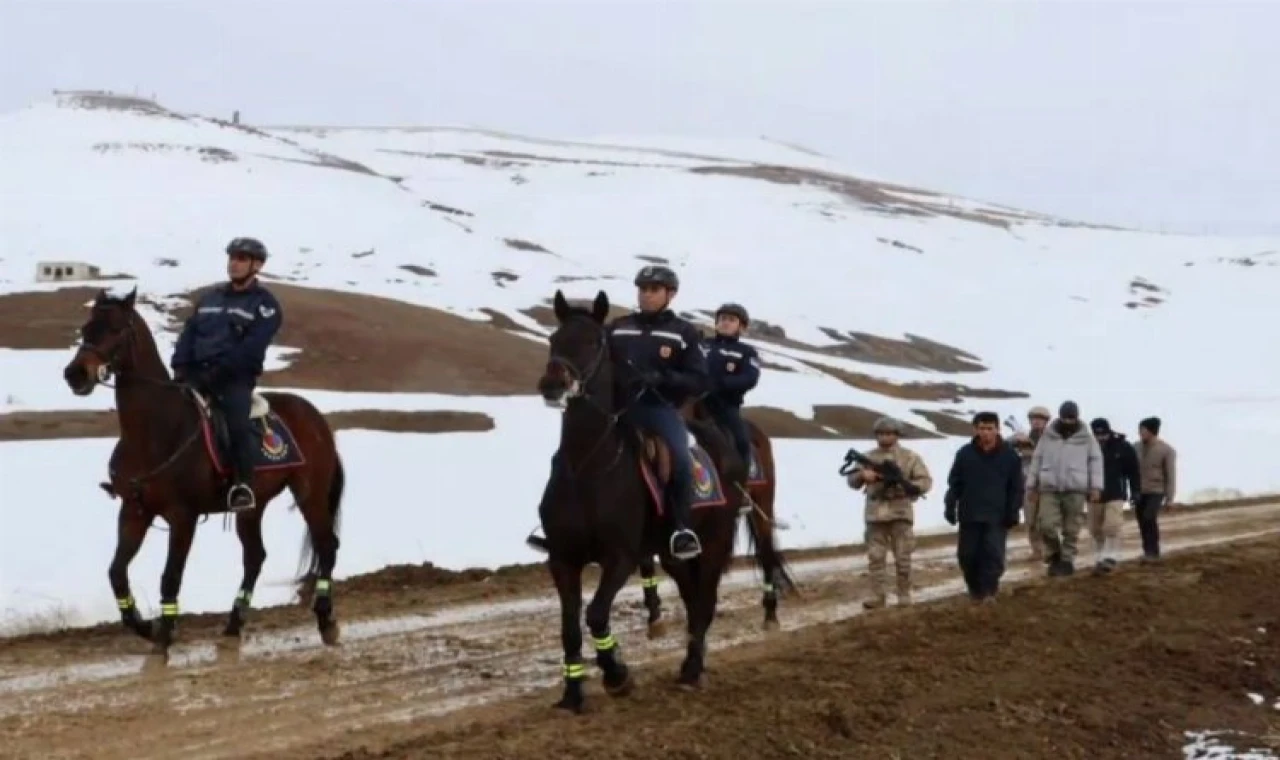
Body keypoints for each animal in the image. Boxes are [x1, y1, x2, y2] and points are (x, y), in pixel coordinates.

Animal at [63, 286, 348, 655]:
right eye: (86, 328)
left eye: (115, 329)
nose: (75, 374)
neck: (157, 429)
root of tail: (316, 418)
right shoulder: (134, 511)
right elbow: (116, 572)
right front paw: (144, 626)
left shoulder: (182, 517)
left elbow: (170, 576)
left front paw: (164, 636)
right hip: (252, 507)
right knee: (255, 557)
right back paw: (233, 625)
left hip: (310, 494)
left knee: (326, 545)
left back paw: (326, 620)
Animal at [537, 290, 747, 711]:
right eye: (554, 338)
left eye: (594, 341)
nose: (553, 383)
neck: (586, 466)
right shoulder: (562, 559)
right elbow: (569, 628)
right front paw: (572, 694)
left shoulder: (621, 556)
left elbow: (596, 614)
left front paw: (617, 675)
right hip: (671, 555)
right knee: (692, 600)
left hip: (713, 543)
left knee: (705, 604)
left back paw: (691, 671)